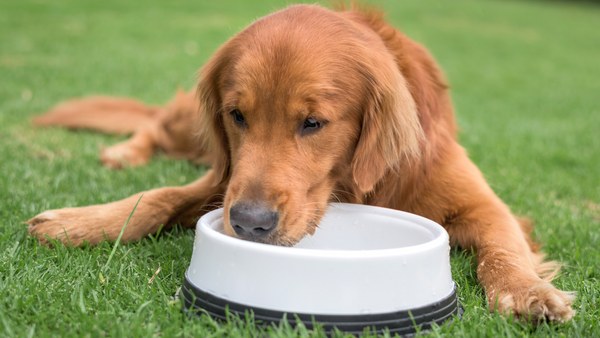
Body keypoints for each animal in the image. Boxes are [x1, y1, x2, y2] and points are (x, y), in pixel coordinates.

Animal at [25, 3, 576, 324]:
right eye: (237, 115)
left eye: (313, 123)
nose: (250, 223)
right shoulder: (226, 179)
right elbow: (158, 197)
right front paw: (81, 222)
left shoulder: (480, 201)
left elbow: (502, 245)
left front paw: (526, 291)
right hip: (192, 131)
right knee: (156, 121)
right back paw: (124, 151)